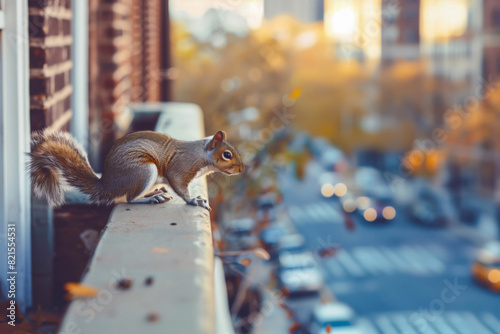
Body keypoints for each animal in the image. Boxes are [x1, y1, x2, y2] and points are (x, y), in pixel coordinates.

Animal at [28, 129, 245, 210]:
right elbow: (179, 186)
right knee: (130, 198)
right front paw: (194, 200)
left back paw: (156, 192)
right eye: (227, 154)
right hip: (143, 171)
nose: (242, 168)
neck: (201, 154)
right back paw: (150, 198)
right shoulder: (180, 167)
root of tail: (107, 185)